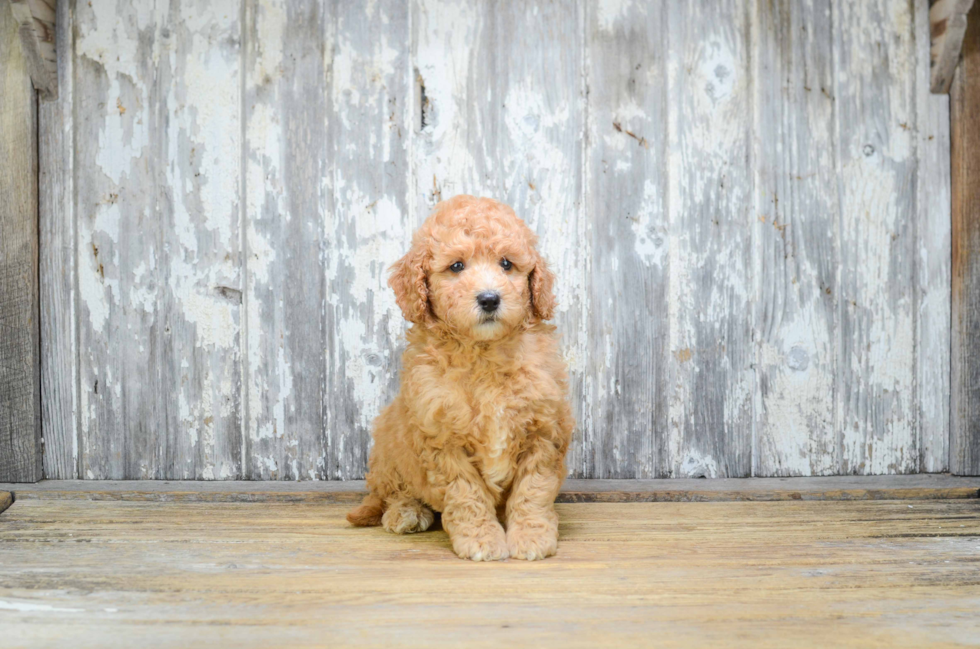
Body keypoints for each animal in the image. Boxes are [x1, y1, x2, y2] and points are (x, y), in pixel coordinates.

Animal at [348, 195, 576, 560]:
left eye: (506, 264)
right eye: (456, 267)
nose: (489, 298)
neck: (482, 352)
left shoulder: (544, 429)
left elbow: (533, 490)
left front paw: (531, 535)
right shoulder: (441, 437)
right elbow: (466, 495)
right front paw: (481, 538)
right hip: (388, 443)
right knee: (391, 491)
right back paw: (406, 512)